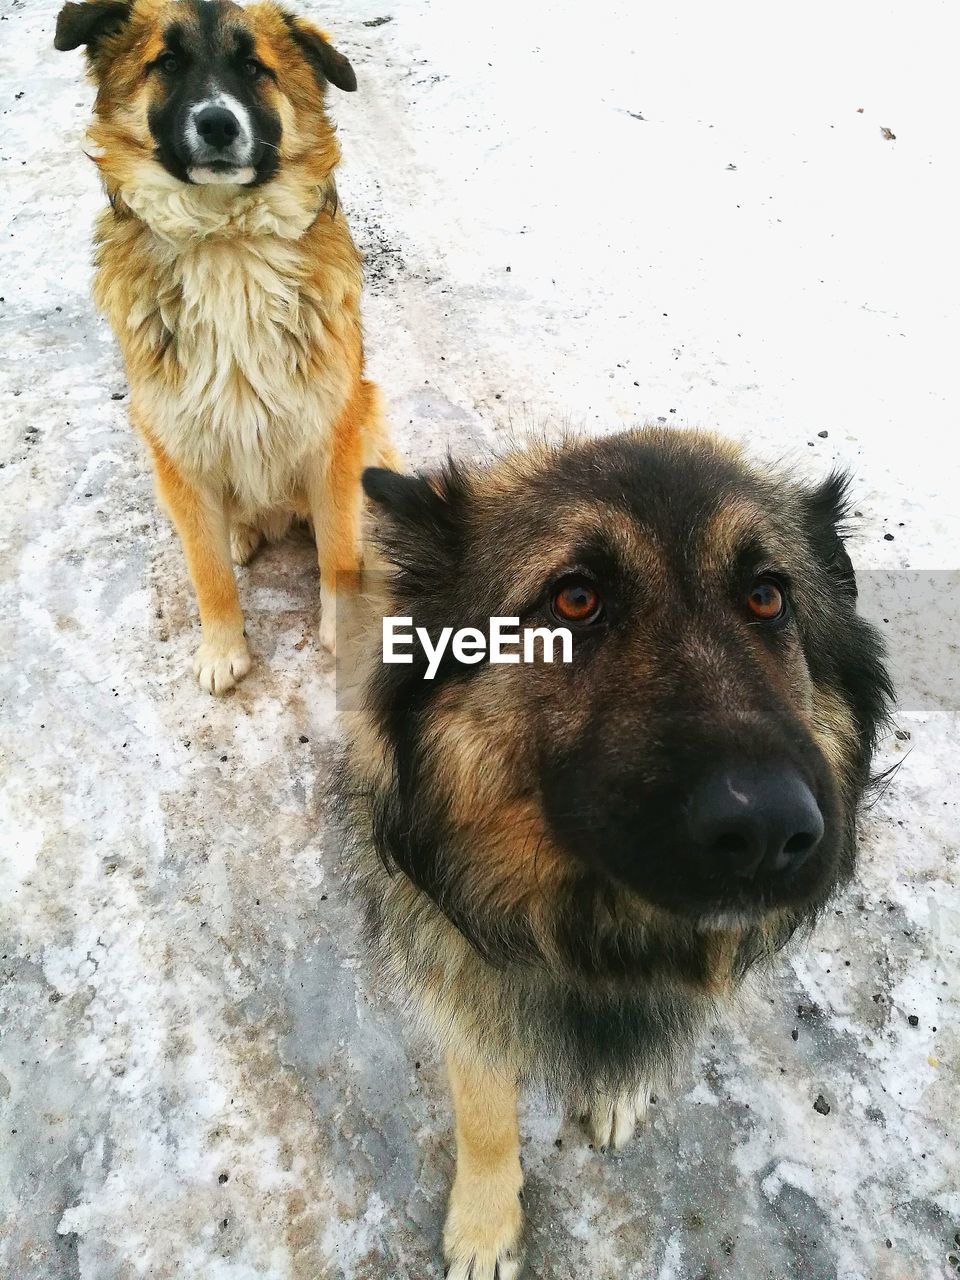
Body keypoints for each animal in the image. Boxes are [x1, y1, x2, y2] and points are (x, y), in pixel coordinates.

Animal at [53, 0, 399, 691]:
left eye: (254, 68)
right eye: (166, 61)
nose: (216, 123)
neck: (224, 241)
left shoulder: (332, 427)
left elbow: (338, 553)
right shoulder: (177, 444)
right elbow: (206, 568)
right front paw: (222, 649)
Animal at [340, 430, 896, 1280]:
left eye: (769, 597)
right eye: (575, 599)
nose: (769, 831)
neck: (595, 929)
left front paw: (617, 1090)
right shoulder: (464, 982)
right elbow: (486, 1116)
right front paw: (485, 1226)